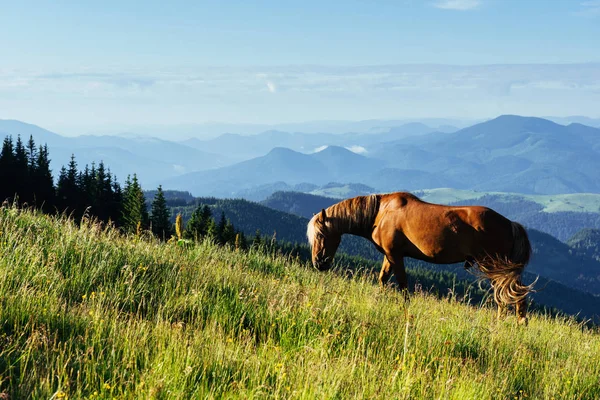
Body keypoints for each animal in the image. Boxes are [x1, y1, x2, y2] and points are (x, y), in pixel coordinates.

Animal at [310, 191, 536, 324]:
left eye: (320, 235)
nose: (318, 263)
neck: (380, 213)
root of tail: (510, 223)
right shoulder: (390, 256)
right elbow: (383, 279)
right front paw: (379, 300)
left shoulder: (395, 255)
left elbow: (402, 284)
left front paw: (406, 308)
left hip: (494, 265)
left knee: (509, 294)